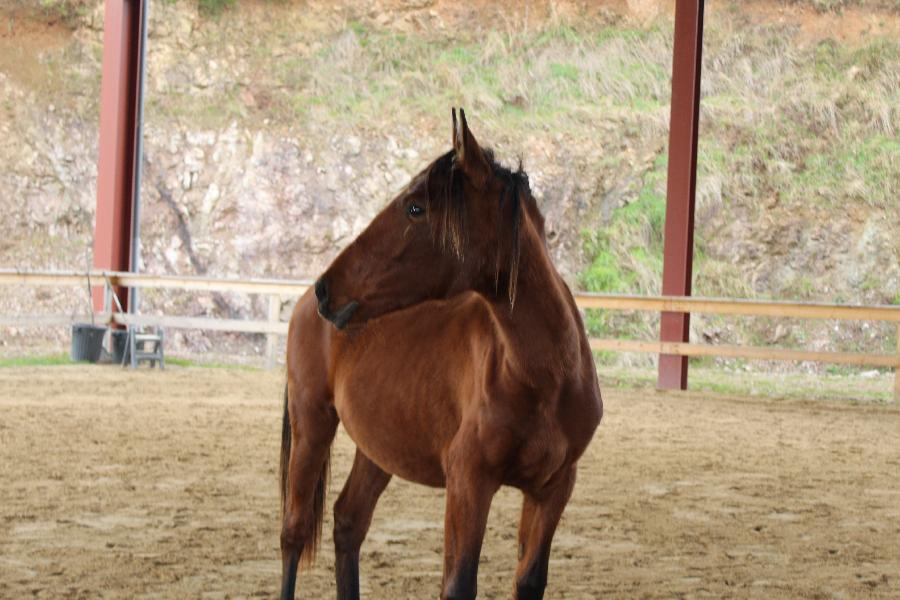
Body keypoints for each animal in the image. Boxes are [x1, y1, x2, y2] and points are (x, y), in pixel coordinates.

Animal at [282, 109, 604, 600]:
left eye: (416, 207)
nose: (326, 289)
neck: (544, 378)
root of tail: (301, 305)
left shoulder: (553, 488)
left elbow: (529, 581)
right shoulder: (468, 483)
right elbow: (459, 584)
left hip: (377, 449)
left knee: (348, 523)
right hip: (312, 426)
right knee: (294, 533)